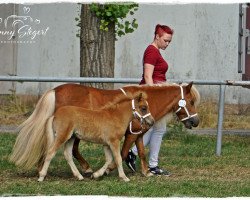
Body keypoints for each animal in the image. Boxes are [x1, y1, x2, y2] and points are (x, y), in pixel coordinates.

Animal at [10, 82, 200, 177]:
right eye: (191, 101)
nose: (196, 121)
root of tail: (55, 90)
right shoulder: (128, 135)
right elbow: (121, 154)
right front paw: (108, 170)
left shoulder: (138, 134)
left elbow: (141, 151)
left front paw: (146, 172)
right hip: (71, 133)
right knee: (65, 149)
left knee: (67, 150)